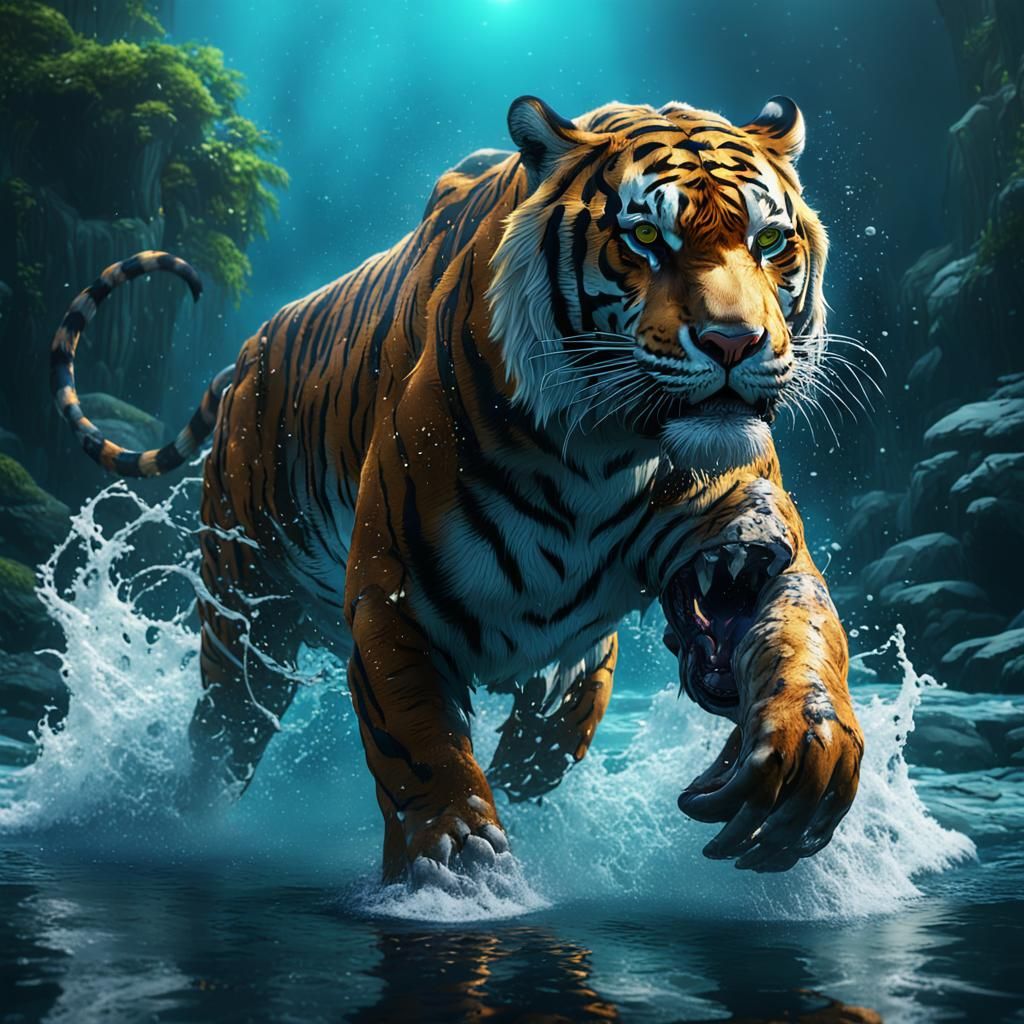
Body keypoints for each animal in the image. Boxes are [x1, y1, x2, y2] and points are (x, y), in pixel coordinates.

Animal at [52, 95, 863, 882]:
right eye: (644, 239)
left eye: (769, 242)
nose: (734, 343)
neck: (611, 453)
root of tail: (246, 355)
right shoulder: (393, 596)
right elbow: (419, 744)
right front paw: (459, 867)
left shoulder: (744, 541)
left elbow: (804, 633)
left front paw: (805, 756)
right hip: (244, 615)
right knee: (222, 733)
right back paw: (171, 823)